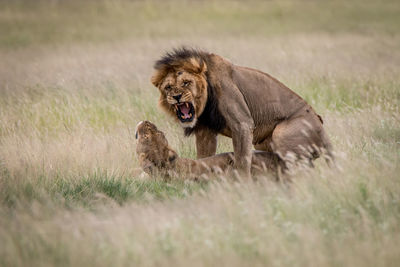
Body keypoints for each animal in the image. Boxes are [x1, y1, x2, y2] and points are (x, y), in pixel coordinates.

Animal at [152, 48, 332, 178]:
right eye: (168, 87)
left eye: (186, 83)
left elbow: (242, 160)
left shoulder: (242, 124)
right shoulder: (205, 131)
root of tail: (323, 132)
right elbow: (203, 157)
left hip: (282, 133)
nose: (176, 96)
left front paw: (243, 185)